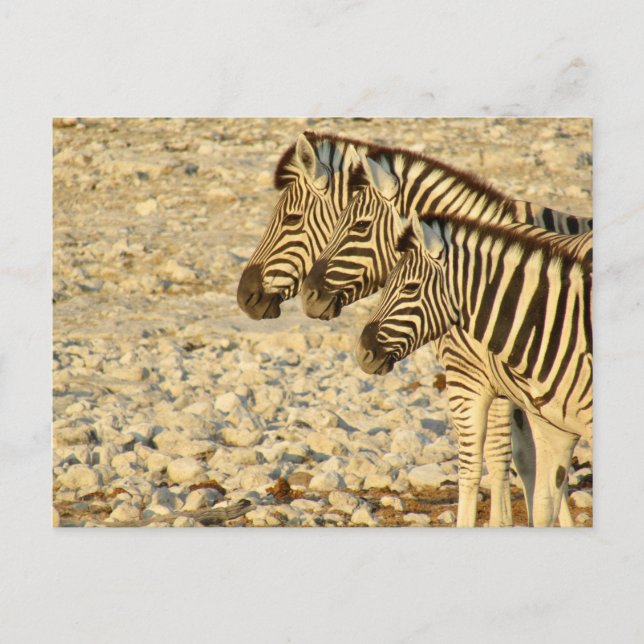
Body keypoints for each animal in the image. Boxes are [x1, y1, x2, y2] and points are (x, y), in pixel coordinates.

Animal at [357, 211, 592, 527]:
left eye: (410, 287)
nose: (362, 351)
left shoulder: (468, 383)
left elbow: (478, 464)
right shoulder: (546, 421)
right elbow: (538, 491)